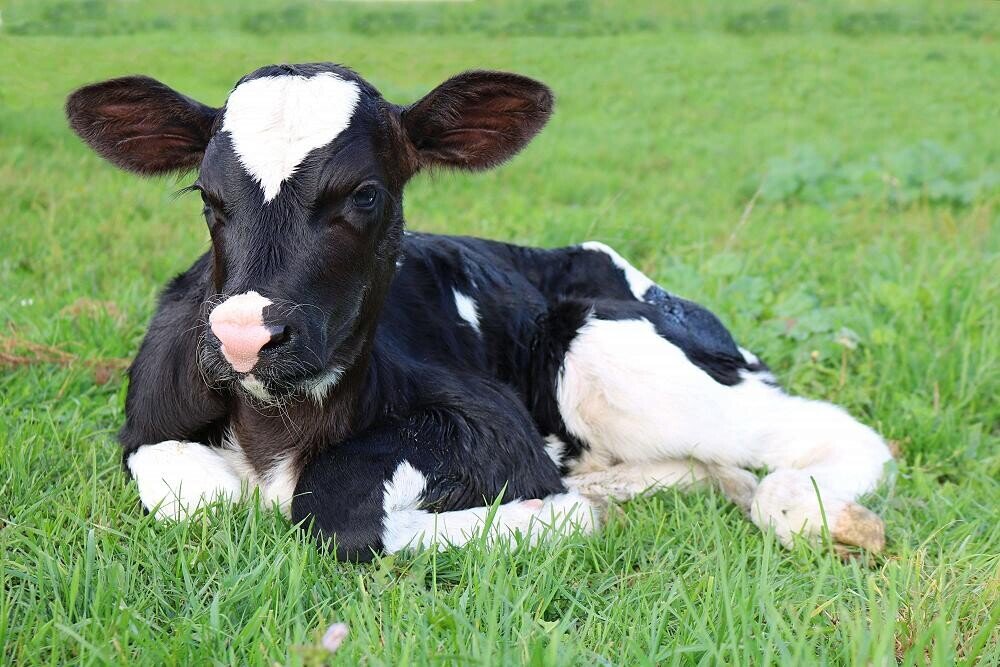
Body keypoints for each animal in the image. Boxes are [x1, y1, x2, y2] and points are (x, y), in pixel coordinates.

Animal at [65, 63, 891, 561]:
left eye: (366, 193)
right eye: (207, 196)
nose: (243, 335)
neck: (278, 430)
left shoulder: (488, 422)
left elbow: (342, 512)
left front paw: (564, 512)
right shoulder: (150, 420)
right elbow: (196, 489)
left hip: (605, 350)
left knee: (833, 435)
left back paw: (806, 508)